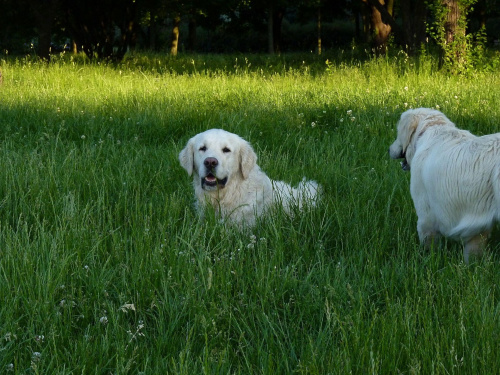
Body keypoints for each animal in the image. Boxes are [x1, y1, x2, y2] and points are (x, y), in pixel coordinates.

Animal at [388, 107, 500, 262]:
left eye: (398, 132)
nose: (388, 150)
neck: (431, 130)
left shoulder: (426, 213)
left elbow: (428, 242)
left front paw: (427, 260)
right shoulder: (479, 224)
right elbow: (473, 251)